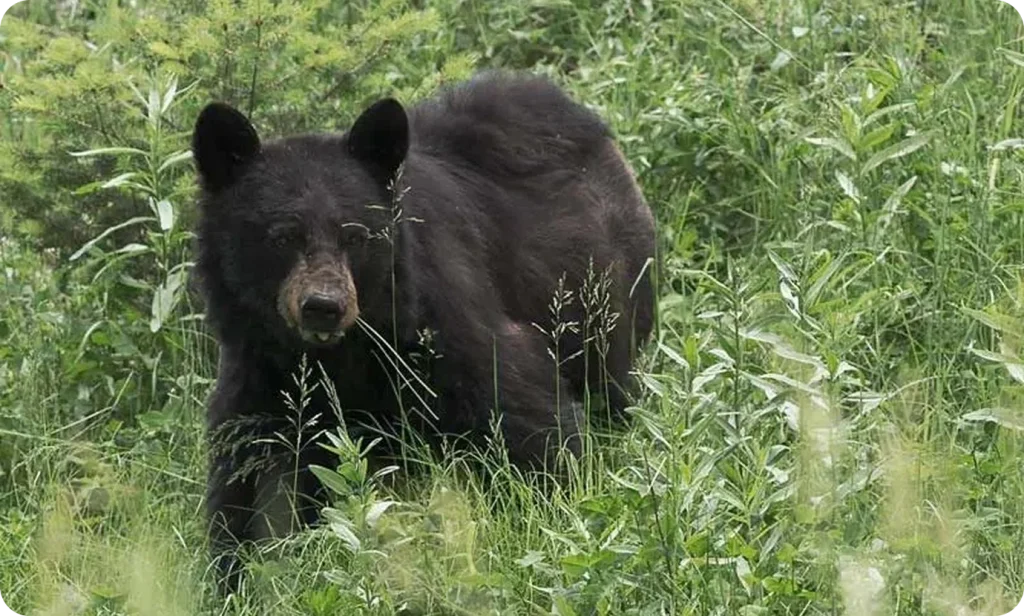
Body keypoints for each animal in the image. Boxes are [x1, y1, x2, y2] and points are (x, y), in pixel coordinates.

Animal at [190, 69, 657, 594]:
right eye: (282, 236)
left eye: (356, 235)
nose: (324, 308)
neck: (344, 353)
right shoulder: (260, 370)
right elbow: (250, 479)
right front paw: (236, 575)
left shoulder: (444, 318)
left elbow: (525, 413)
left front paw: (557, 521)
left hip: (601, 297)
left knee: (607, 389)